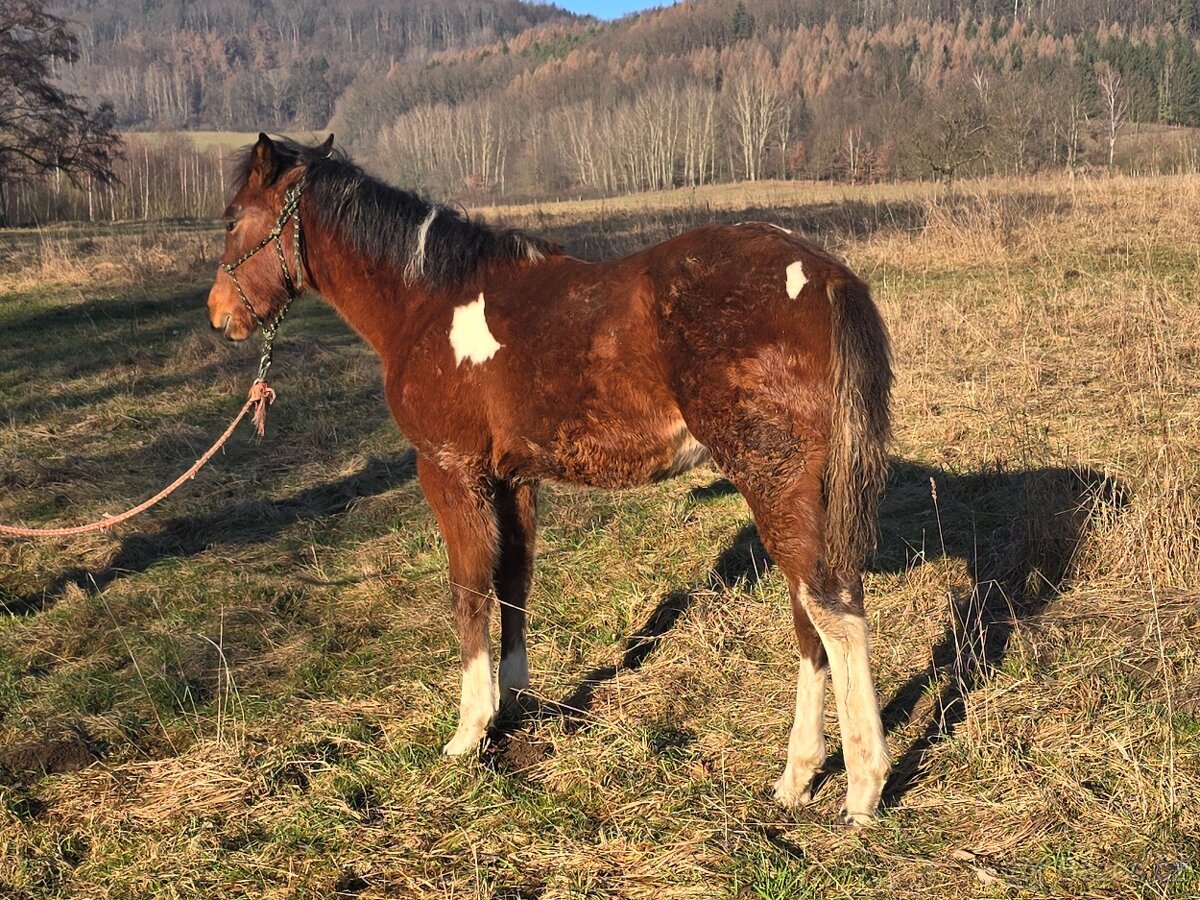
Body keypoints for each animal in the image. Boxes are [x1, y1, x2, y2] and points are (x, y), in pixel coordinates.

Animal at [206, 134, 894, 825]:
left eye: (233, 219)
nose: (218, 313)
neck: (426, 302)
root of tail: (825, 275)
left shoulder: (450, 471)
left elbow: (469, 590)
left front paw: (468, 730)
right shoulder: (513, 480)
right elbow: (513, 581)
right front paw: (512, 704)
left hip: (773, 480)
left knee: (832, 615)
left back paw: (860, 786)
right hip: (804, 494)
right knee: (813, 620)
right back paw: (799, 779)